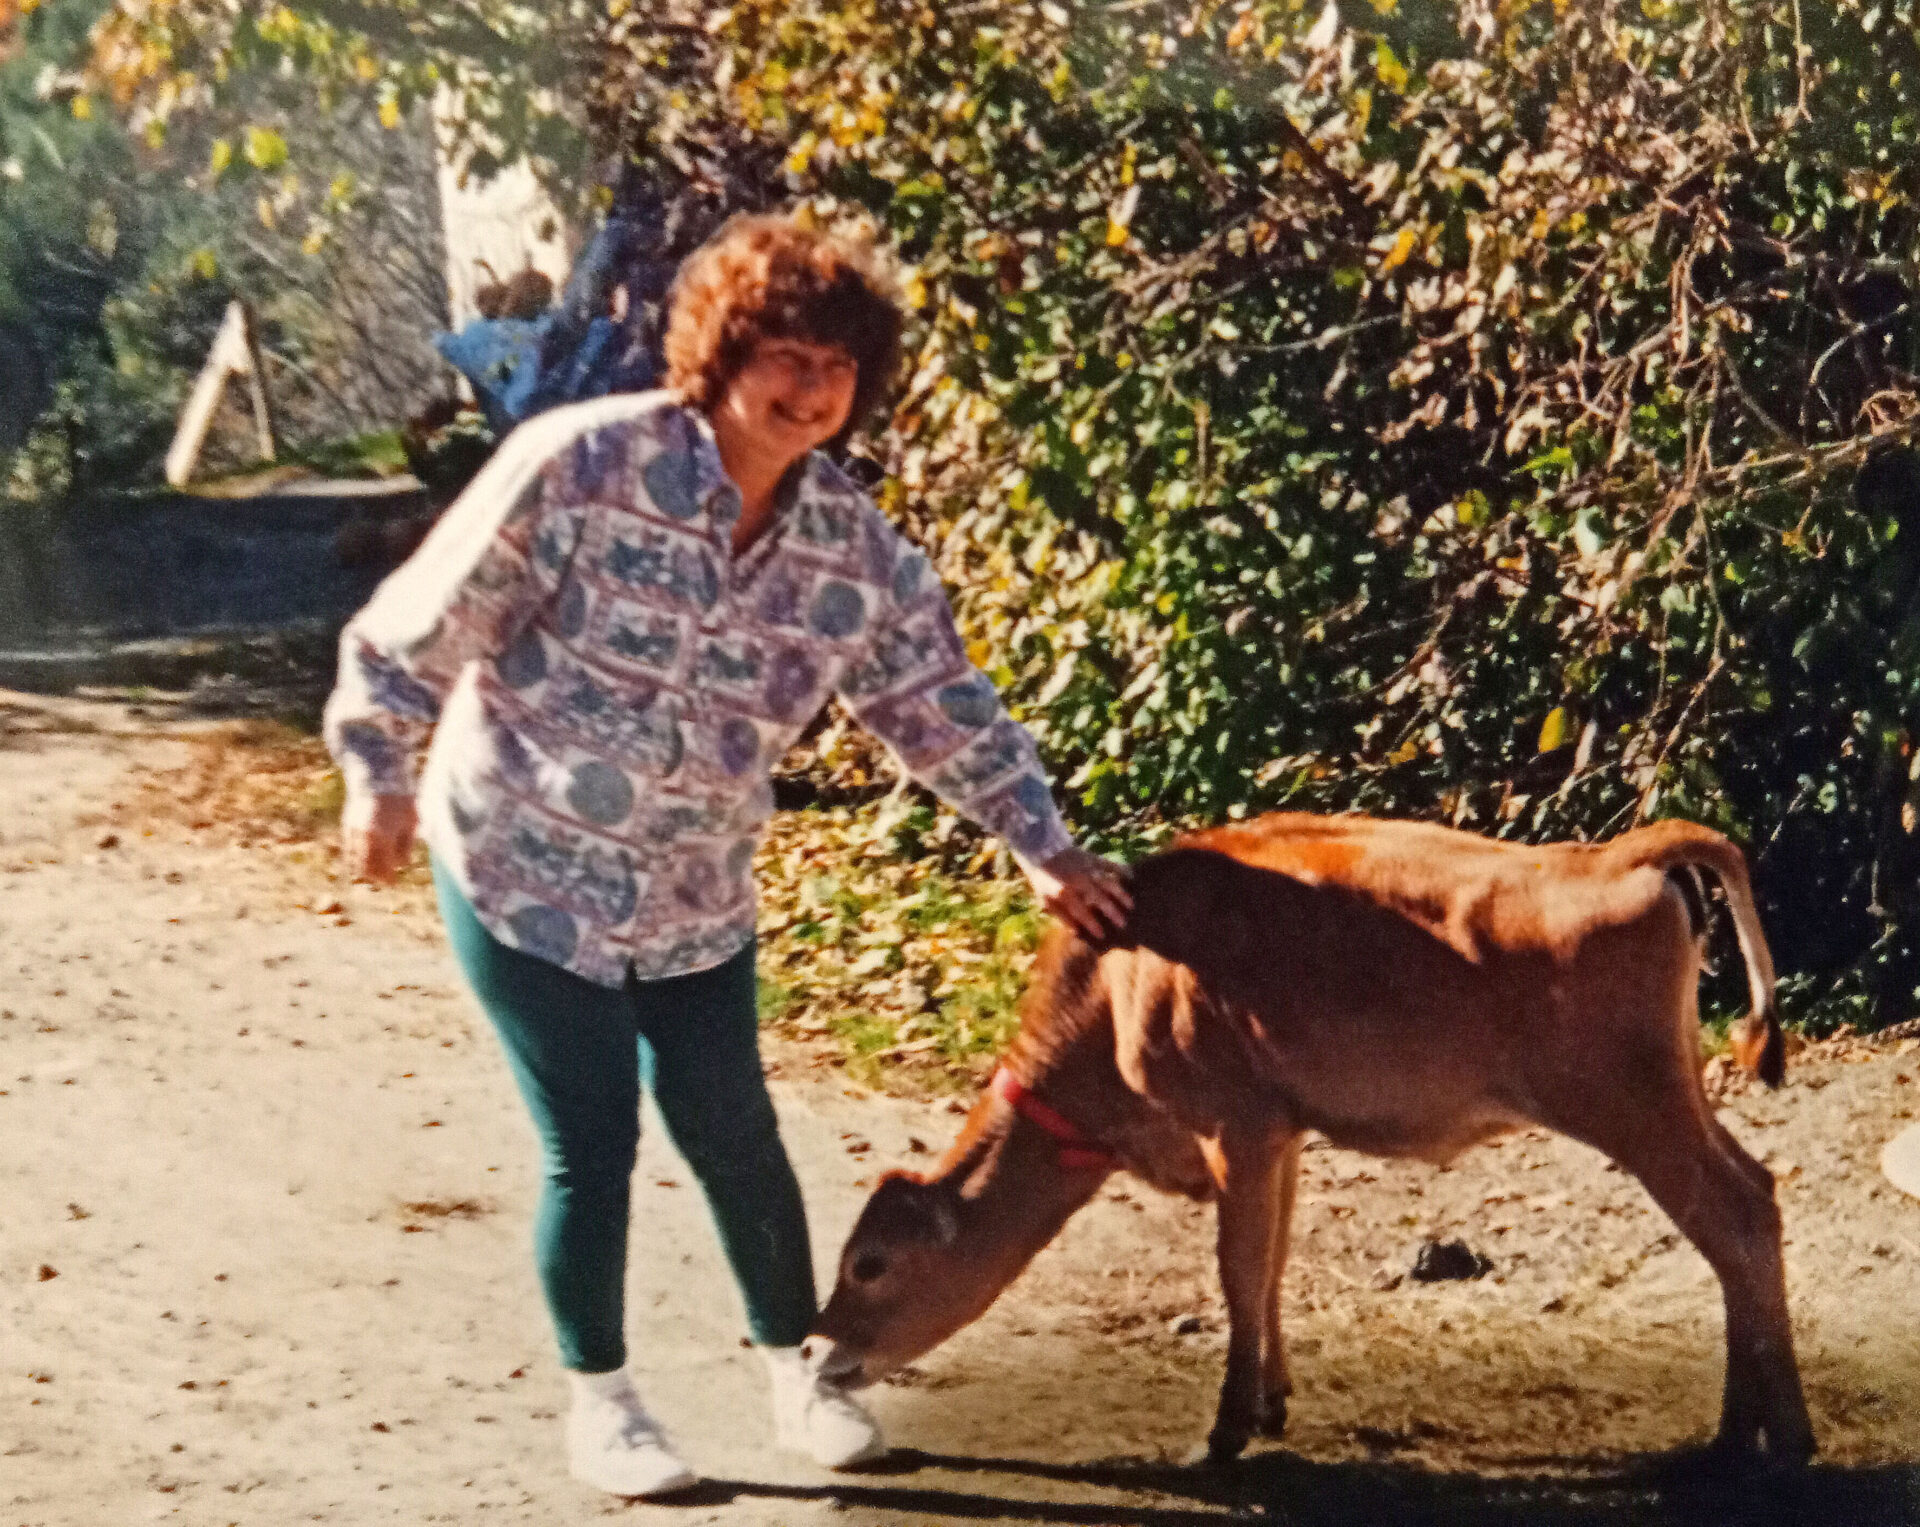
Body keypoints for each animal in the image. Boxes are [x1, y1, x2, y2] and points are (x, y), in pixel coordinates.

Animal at [810, 813, 1815, 1466]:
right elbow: (1272, 1264)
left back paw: (1784, 1434)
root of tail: (1618, 854)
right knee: (1753, 1197)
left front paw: (1222, 1434)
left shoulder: (1236, 1124)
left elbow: (1238, 1271)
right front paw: (1271, 1403)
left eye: (870, 1263)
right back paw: (1740, 1427)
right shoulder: (1282, 1131)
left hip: (1634, 1107)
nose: (820, 1348)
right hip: (1677, 1094)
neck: (1120, 980)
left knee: (1736, 1218)